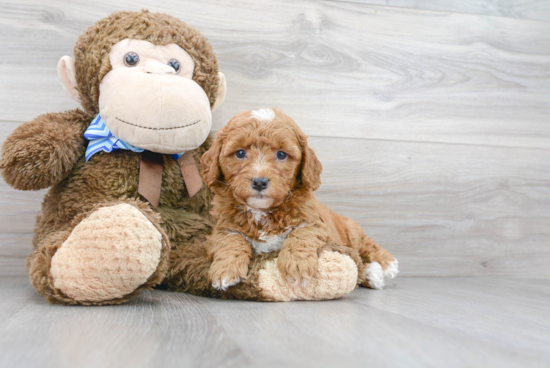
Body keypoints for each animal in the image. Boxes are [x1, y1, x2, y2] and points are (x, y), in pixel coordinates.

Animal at [201, 108, 398, 292]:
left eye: (281, 155)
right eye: (240, 153)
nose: (259, 182)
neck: (263, 212)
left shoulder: (317, 224)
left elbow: (300, 235)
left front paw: (297, 267)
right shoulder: (223, 228)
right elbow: (230, 241)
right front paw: (225, 270)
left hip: (351, 231)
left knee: (366, 245)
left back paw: (386, 266)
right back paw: (372, 273)